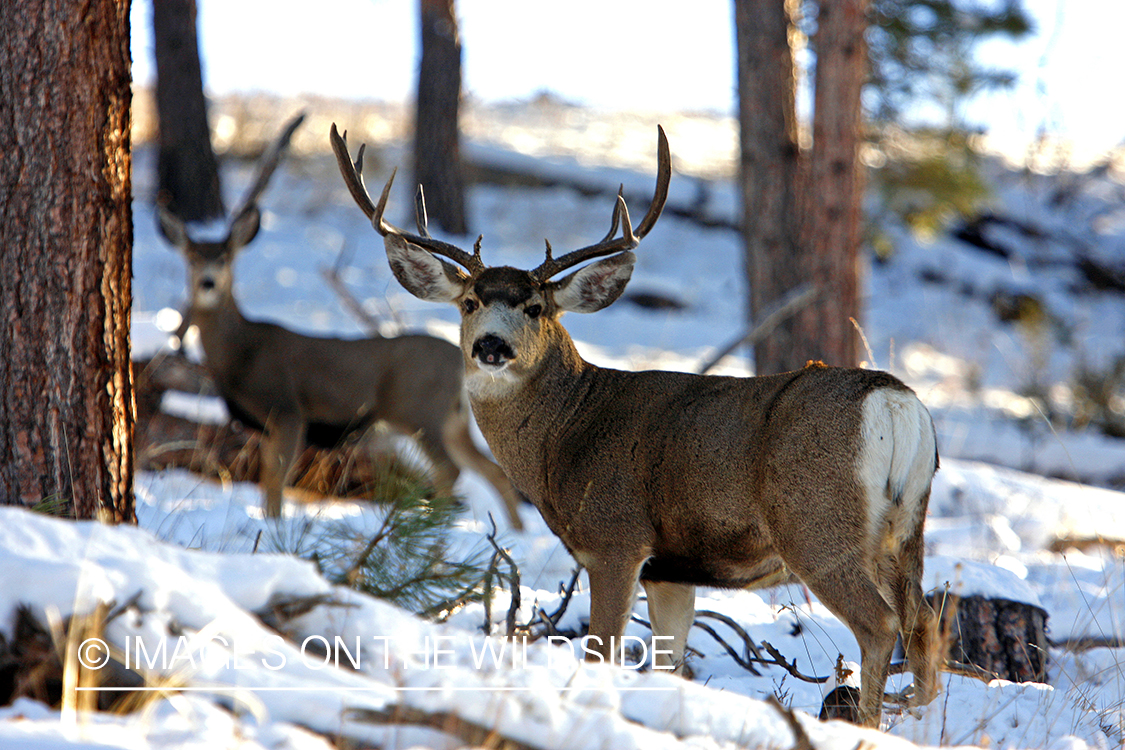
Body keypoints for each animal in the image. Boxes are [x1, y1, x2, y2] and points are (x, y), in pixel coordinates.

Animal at [156, 113, 525, 529]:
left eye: (225, 258)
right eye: (190, 257)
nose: (207, 282)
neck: (241, 352)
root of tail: (459, 360)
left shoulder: (288, 410)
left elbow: (274, 482)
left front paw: (274, 524)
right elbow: (268, 478)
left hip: (419, 410)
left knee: (451, 469)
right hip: (452, 420)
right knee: (492, 471)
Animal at [330, 122, 941, 727]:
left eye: (535, 308)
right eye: (470, 302)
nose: (491, 346)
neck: (565, 433)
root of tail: (895, 402)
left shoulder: (615, 539)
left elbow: (603, 651)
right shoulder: (670, 569)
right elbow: (670, 665)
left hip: (815, 522)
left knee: (880, 624)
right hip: (905, 527)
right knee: (925, 626)